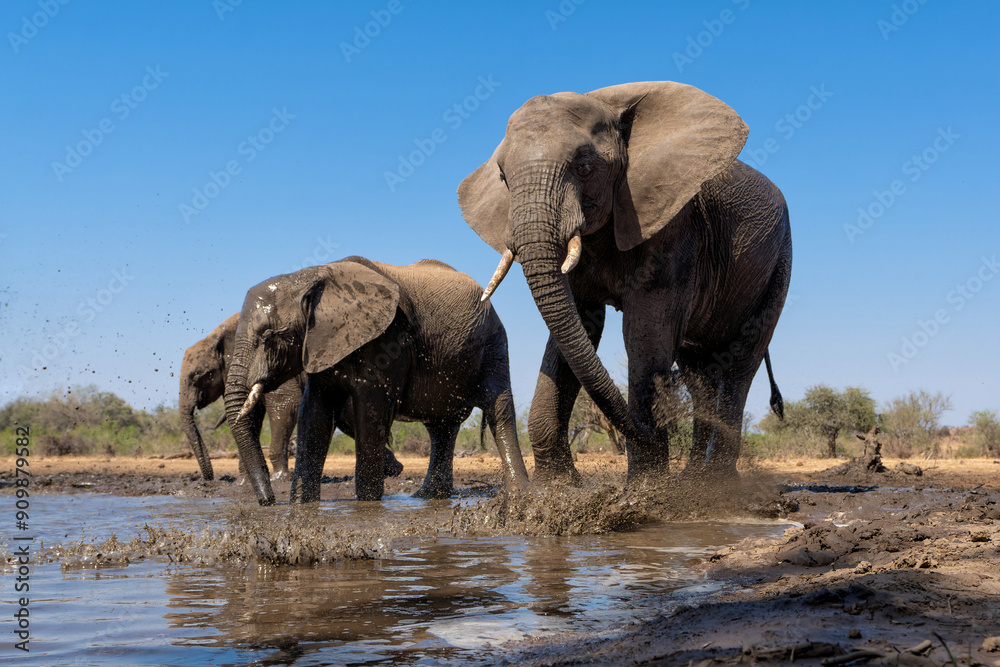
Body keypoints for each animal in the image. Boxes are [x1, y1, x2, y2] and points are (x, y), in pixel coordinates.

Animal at [179, 313, 305, 481]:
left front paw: (280, 479)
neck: (216, 337)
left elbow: (286, 403)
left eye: (198, 376)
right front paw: (244, 481)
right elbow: (251, 415)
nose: (208, 478)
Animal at [223, 256, 530, 505]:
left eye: (270, 336)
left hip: (493, 342)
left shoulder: (387, 339)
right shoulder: (320, 347)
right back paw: (427, 497)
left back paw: (520, 494)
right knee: (441, 427)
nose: (268, 502)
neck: (309, 276)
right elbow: (314, 415)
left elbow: (369, 413)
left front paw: (368, 506)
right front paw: (301, 506)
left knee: (498, 408)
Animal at [457, 81, 790, 482]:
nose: (657, 423)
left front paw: (647, 488)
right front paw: (556, 489)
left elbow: (643, 333)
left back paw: (714, 483)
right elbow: (577, 330)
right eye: (504, 179)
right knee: (698, 374)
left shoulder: (675, 223)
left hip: (779, 261)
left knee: (743, 361)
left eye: (585, 167)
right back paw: (692, 479)